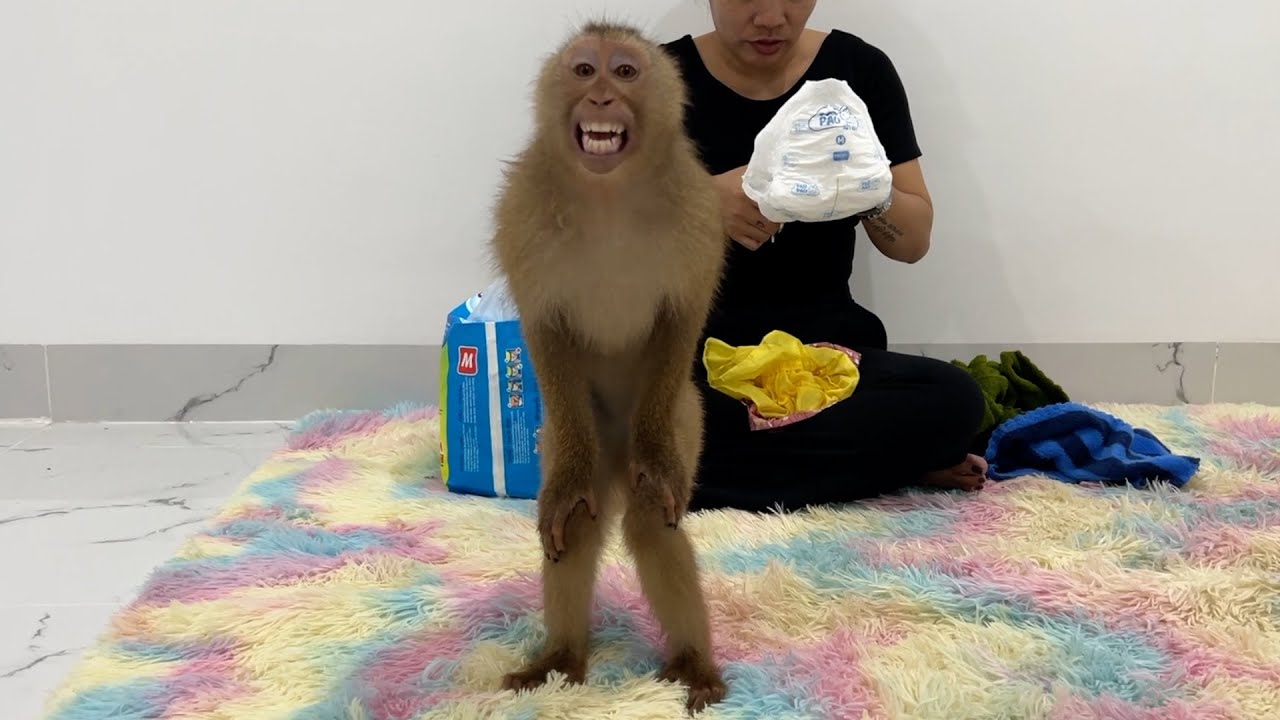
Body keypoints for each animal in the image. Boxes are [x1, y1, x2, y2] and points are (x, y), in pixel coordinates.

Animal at [489, 21, 728, 713]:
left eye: (623, 72)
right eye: (582, 70)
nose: (599, 98)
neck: (608, 191)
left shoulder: (697, 206)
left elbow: (683, 316)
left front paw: (657, 463)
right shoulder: (521, 209)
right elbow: (545, 327)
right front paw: (569, 491)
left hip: (684, 415)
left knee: (653, 525)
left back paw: (694, 664)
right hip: (577, 431)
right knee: (577, 525)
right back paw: (562, 658)